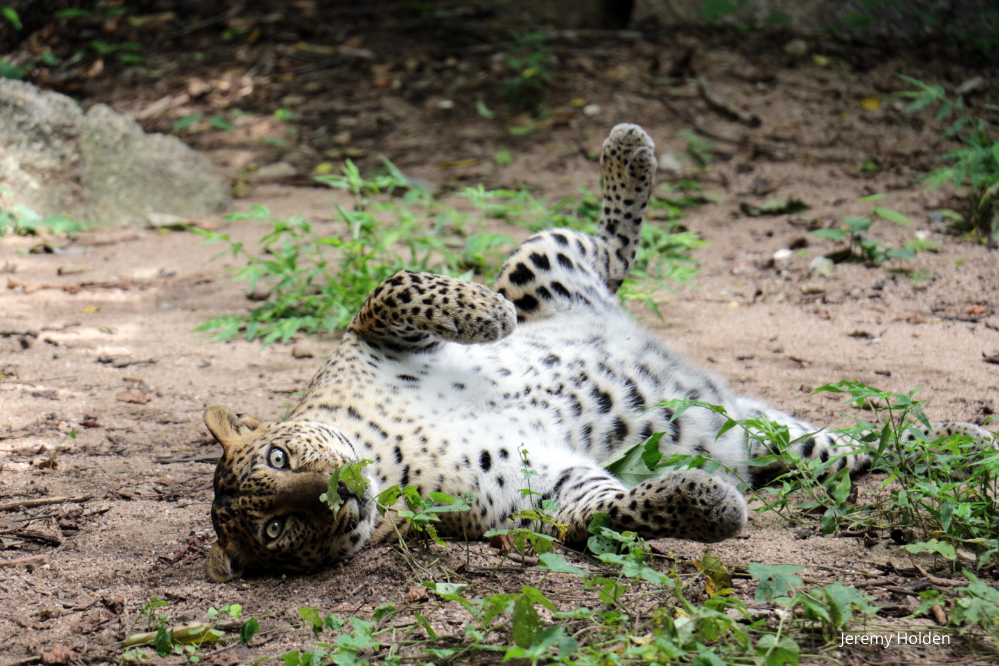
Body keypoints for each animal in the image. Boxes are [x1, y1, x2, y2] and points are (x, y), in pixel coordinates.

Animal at [203, 124, 992, 580]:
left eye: (279, 457)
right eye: (277, 529)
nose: (337, 493)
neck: (390, 457)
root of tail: (719, 389)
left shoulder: (365, 339)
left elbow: (392, 288)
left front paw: (485, 318)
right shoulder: (540, 494)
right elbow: (611, 516)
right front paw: (708, 505)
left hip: (539, 261)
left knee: (605, 248)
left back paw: (626, 152)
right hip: (788, 445)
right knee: (869, 446)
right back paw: (967, 440)